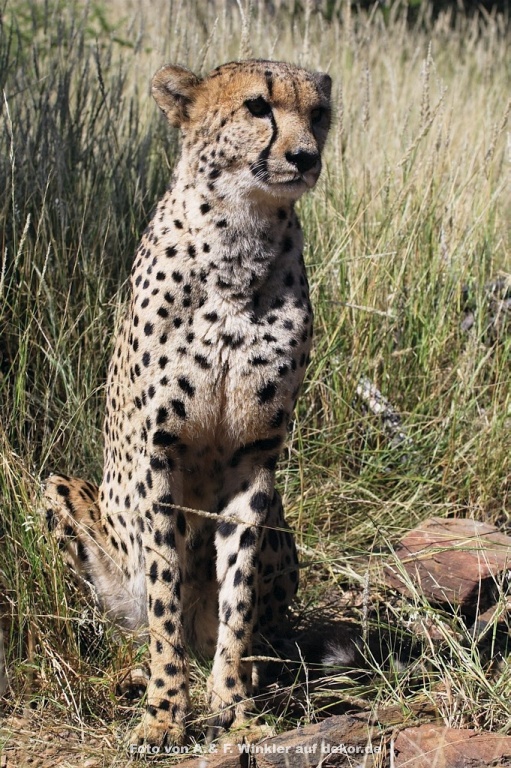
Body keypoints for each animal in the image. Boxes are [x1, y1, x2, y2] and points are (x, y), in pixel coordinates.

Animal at [43, 58, 332, 746]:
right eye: (258, 107)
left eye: (319, 114)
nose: (306, 157)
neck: (240, 245)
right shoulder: (160, 454)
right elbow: (165, 590)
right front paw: (166, 712)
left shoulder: (254, 458)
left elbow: (239, 591)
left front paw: (233, 705)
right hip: (60, 490)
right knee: (133, 622)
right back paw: (134, 672)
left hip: (283, 520)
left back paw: (250, 671)